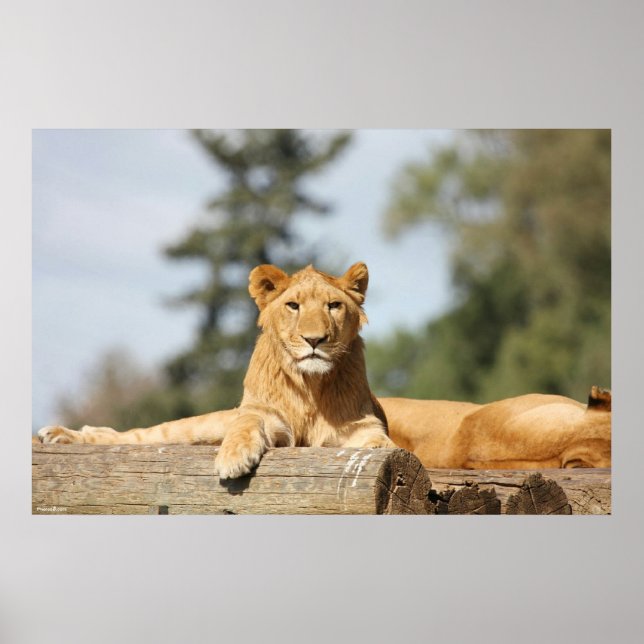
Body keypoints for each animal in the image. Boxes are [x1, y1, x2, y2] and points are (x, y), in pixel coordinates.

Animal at [37, 262, 395, 479]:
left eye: (334, 306)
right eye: (293, 306)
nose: (314, 340)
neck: (311, 385)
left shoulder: (359, 425)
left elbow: (381, 440)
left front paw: (383, 449)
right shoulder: (263, 414)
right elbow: (246, 425)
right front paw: (233, 457)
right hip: (194, 427)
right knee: (137, 437)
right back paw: (63, 435)